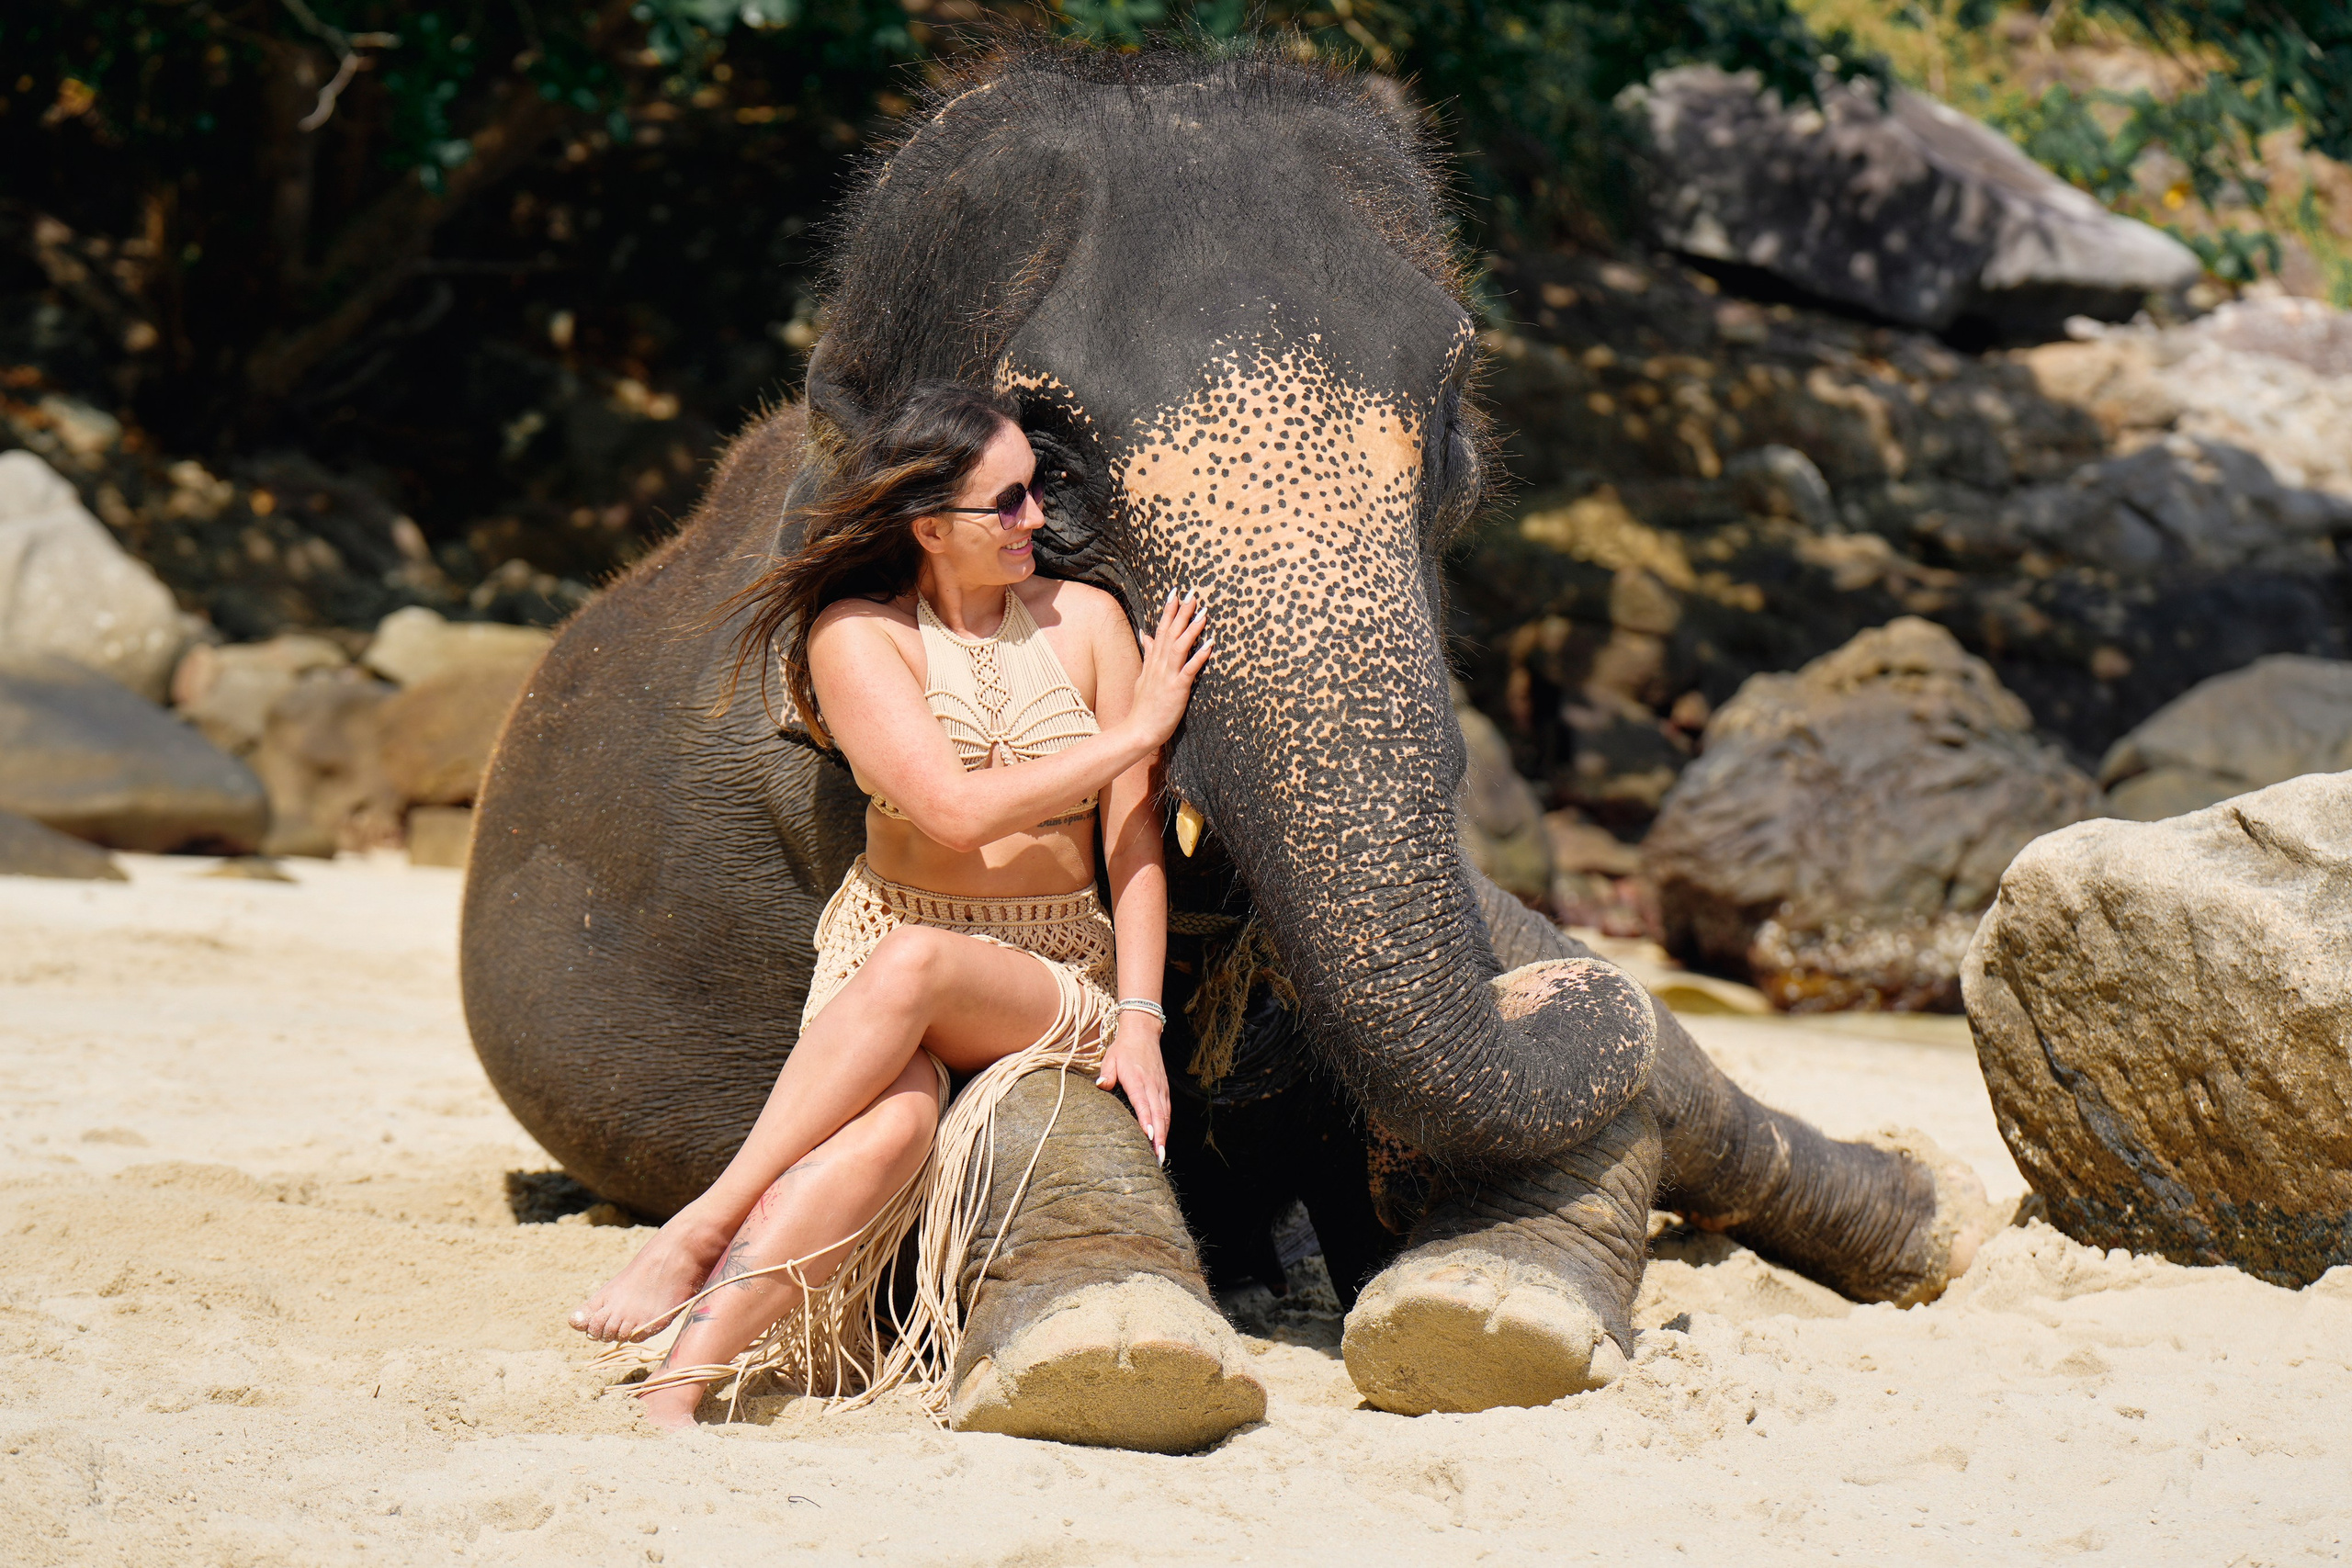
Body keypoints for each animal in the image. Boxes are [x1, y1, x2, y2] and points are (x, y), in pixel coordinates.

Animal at [461, 42, 1987, 1451]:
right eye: (1051, 468)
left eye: (1452, 421)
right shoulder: (826, 774)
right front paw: (1106, 1354)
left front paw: (1481, 1305)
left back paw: (1881, 1228)